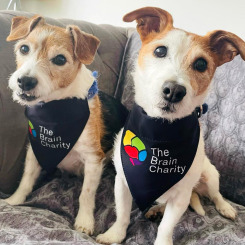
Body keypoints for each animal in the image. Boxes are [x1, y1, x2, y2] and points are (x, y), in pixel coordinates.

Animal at [4, 14, 104, 235]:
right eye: (24, 48)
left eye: (60, 59)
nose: (25, 81)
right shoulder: (35, 150)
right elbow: (26, 179)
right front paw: (14, 201)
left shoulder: (94, 159)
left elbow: (87, 193)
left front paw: (85, 222)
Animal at [97, 6, 245, 244]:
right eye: (159, 51)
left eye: (201, 64)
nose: (174, 91)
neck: (161, 131)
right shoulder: (123, 183)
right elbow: (122, 214)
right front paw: (115, 234)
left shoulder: (181, 197)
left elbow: (166, 227)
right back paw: (155, 209)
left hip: (210, 174)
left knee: (216, 194)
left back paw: (225, 208)